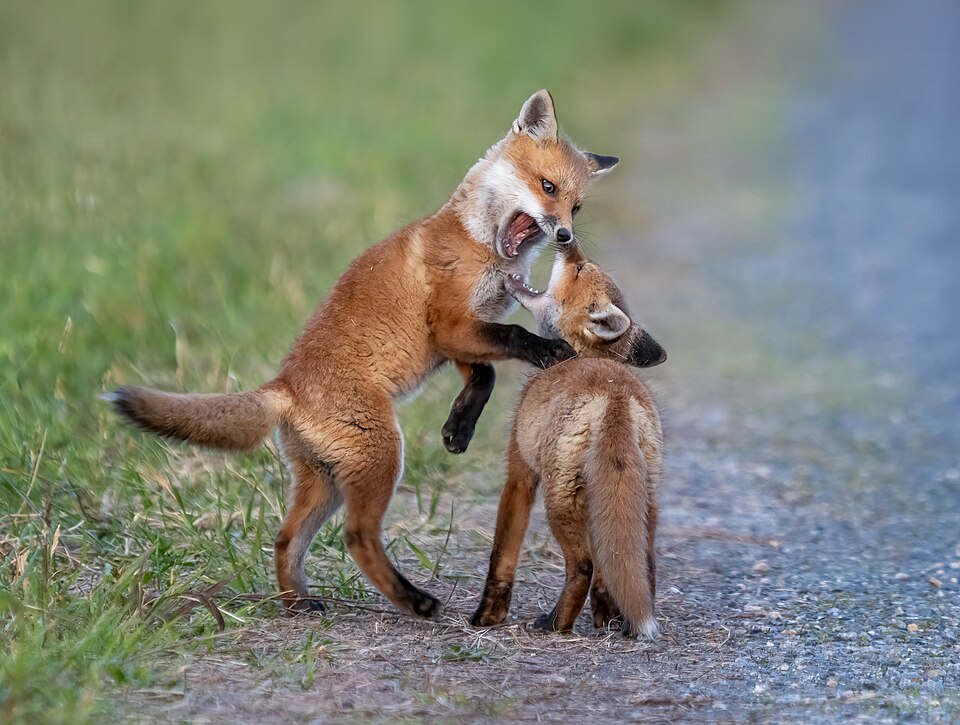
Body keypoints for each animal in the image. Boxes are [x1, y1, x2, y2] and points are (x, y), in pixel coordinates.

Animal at [105, 90, 650, 619]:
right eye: (547, 187)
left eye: (577, 207)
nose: (565, 236)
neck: (481, 245)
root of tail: (285, 385)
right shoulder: (450, 323)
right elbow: (511, 342)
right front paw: (549, 350)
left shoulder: (456, 338)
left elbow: (484, 376)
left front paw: (458, 428)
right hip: (381, 458)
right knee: (356, 536)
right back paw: (414, 601)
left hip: (324, 481)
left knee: (285, 539)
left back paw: (298, 603)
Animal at [469, 242, 665, 638]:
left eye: (578, 269)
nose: (567, 240)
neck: (578, 355)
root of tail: (615, 396)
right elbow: (608, 575)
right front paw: (606, 616)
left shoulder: (520, 472)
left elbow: (502, 555)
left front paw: (488, 616)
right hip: (645, 496)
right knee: (641, 563)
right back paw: (630, 626)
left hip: (559, 500)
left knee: (583, 566)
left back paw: (556, 623)